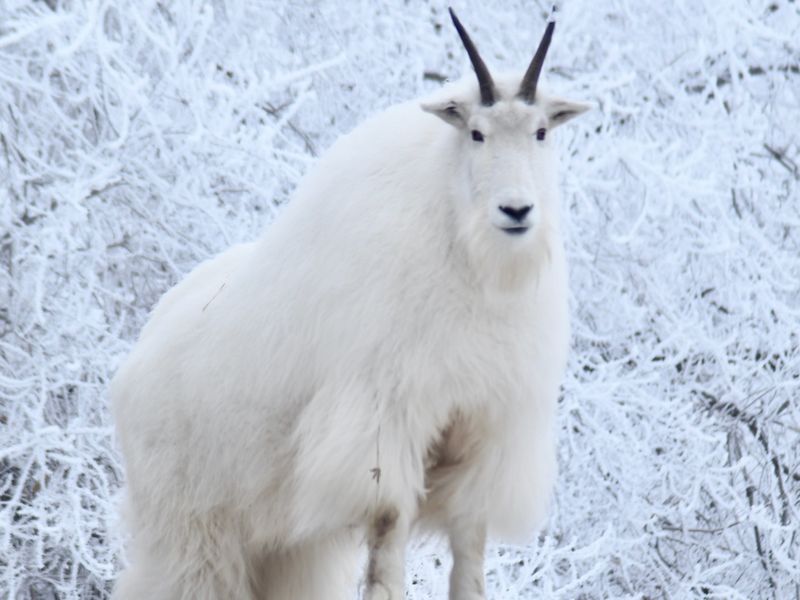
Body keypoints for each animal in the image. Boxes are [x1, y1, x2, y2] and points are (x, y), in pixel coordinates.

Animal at [111, 9, 589, 600]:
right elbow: (387, 537)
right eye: (477, 133)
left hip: (280, 544)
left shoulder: (485, 433)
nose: (517, 210)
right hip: (193, 528)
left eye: (541, 132)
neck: (472, 262)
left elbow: (469, 550)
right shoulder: (382, 425)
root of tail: (133, 365)